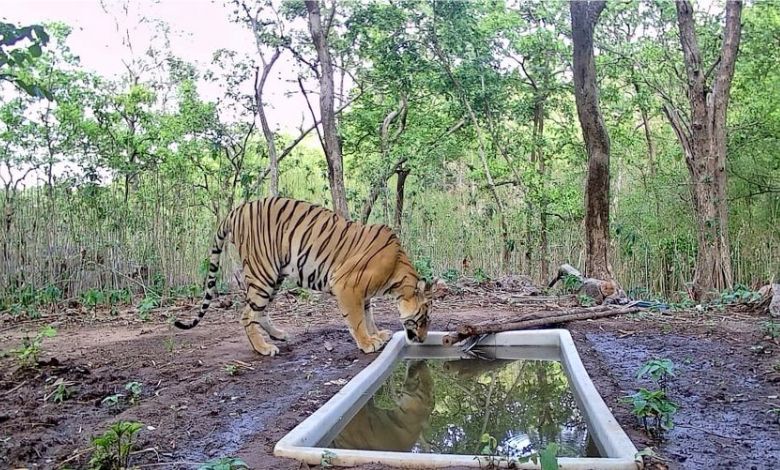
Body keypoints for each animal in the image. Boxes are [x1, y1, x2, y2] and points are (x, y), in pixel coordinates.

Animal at [173, 197, 436, 356]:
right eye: (423, 319)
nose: (424, 340)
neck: (398, 274)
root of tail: (237, 209)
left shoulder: (363, 293)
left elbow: (368, 315)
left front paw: (377, 334)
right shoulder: (347, 285)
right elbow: (357, 319)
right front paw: (368, 342)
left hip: (274, 276)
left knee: (259, 311)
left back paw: (278, 335)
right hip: (263, 272)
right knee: (247, 314)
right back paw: (263, 348)